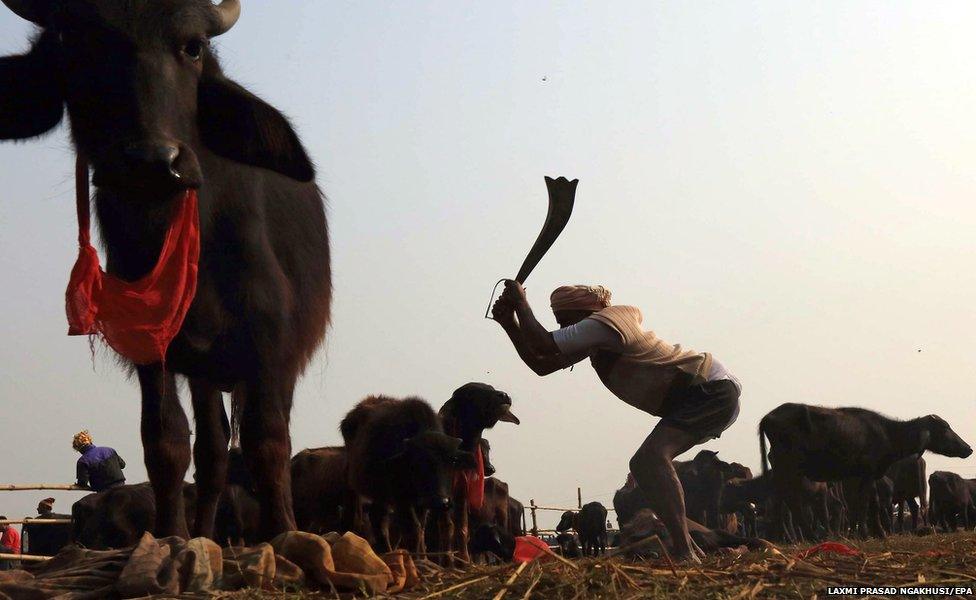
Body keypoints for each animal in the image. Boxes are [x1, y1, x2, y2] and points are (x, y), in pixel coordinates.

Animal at [0, 1, 332, 544]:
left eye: (192, 47)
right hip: (204, 373)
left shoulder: (270, 339)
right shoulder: (150, 345)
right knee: (213, 453)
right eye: (82, 43)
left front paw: (283, 533)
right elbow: (166, 440)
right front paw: (173, 533)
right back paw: (205, 531)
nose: (152, 162)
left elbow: (268, 439)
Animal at [760, 406, 972, 540]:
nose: (968, 448)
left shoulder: (861, 478)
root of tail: (768, 418)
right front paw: (866, 533)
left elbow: (867, 504)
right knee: (790, 503)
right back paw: (806, 537)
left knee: (783, 503)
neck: (887, 433)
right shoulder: (865, 475)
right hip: (789, 470)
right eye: (944, 427)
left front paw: (871, 533)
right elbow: (864, 504)